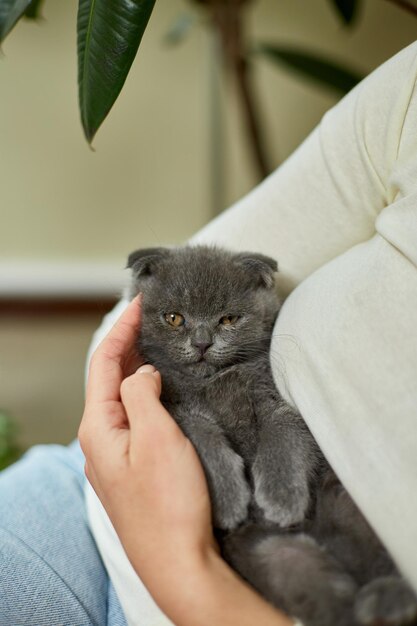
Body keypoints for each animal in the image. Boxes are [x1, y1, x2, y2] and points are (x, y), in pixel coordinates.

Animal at [127, 244, 416, 624]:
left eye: (228, 319)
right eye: (175, 318)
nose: (202, 343)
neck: (214, 380)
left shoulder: (276, 404)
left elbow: (281, 437)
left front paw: (281, 498)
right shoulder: (176, 412)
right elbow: (204, 440)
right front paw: (228, 499)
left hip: (343, 504)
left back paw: (390, 598)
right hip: (273, 556)